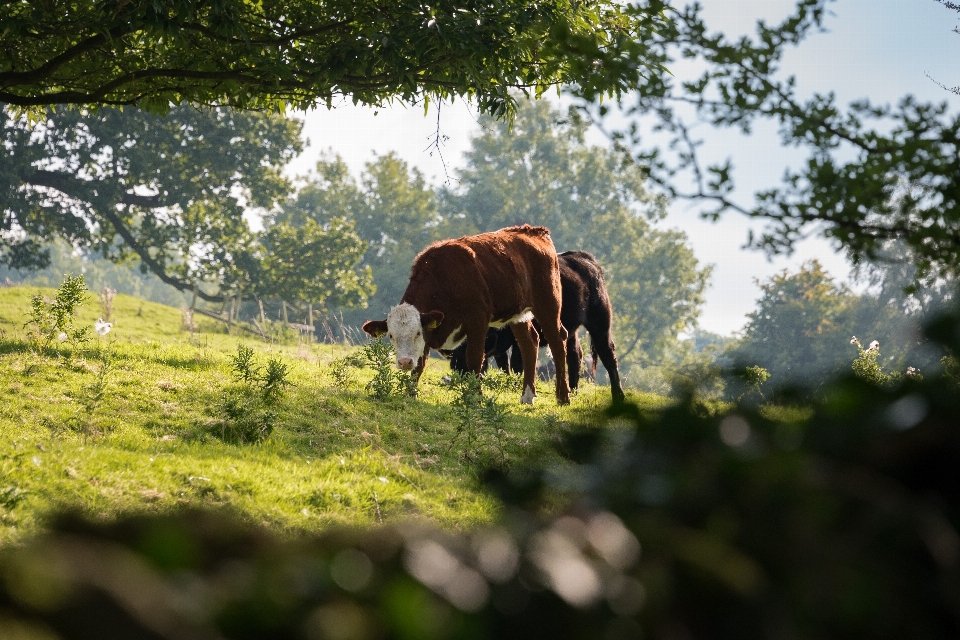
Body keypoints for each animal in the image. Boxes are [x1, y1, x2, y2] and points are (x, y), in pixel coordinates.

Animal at [360, 225, 568, 404]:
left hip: (549, 304)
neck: (444, 279)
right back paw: (527, 396)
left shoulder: (478, 322)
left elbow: (474, 359)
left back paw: (563, 397)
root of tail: (535, 232)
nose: (404, 362)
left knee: (557, 342)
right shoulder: (430, 328)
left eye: (417, 333)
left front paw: (476, 396)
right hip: (518, 314)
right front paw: (410, 394)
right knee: (529, 343)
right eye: (391, 336)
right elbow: (420, 364)